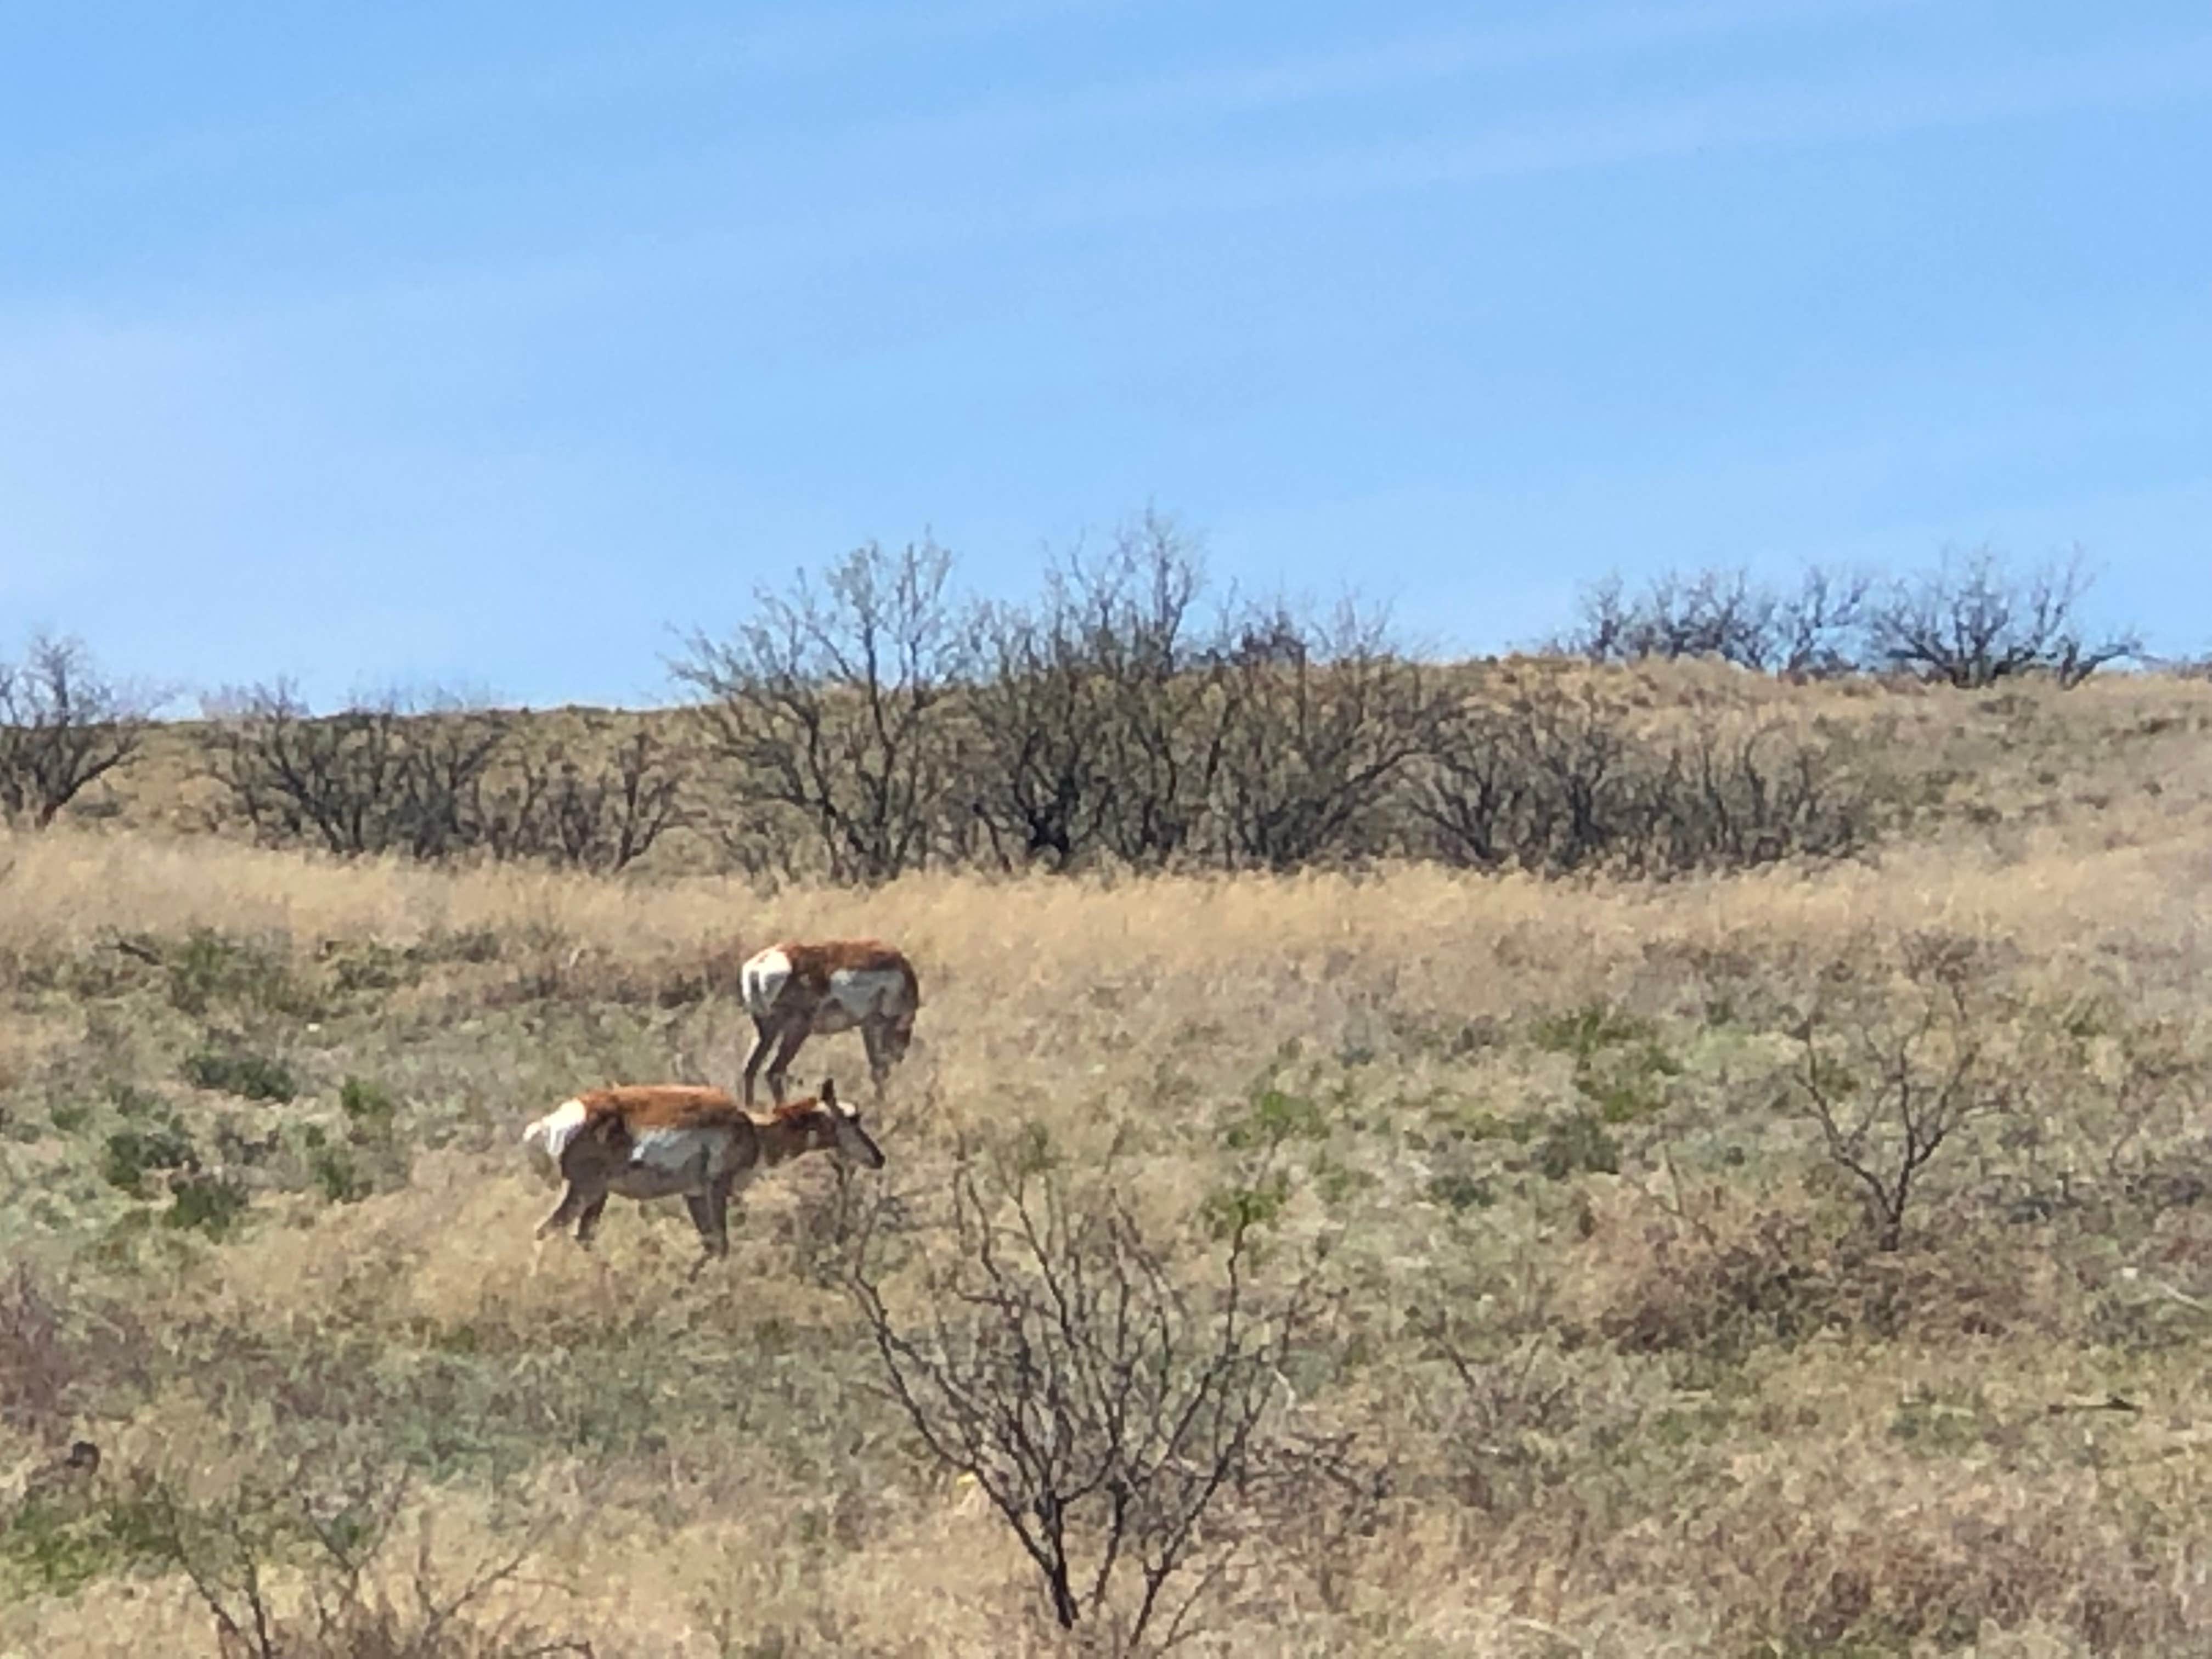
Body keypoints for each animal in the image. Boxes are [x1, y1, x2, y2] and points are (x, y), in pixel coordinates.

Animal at [522, 1084, 884, 1283]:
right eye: (852, 1118)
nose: (879, 1158)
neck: (754, 1129)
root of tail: (559, 1119)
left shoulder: (694, 1195)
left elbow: (710, 1244)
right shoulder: (716, 1189)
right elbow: (721, 1245)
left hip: (597, 1195)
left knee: (582, 1236)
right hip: (587, 1191)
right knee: (544, 1229)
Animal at [738, 942, 920, 1110]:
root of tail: (758, 966)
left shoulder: (867, 1027)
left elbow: (877, 1068)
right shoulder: (879, 1026)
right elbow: (880, 1069)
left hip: (766, 1033)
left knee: (750, 1069)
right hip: (797, 1032)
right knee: (772, 1071)